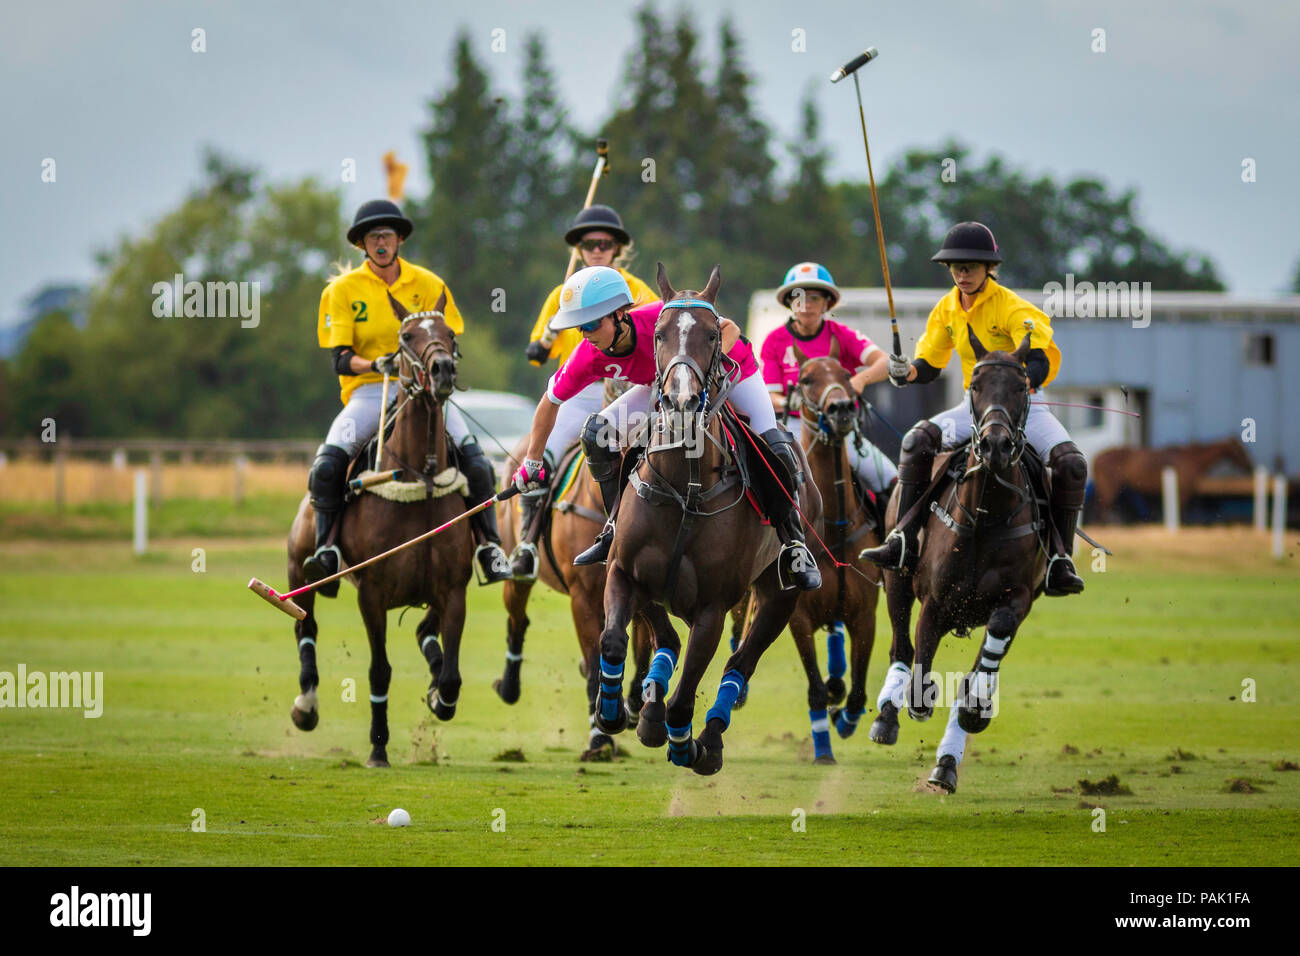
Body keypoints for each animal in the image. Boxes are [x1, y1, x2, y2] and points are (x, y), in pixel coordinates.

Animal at [289, 291, 478, 770]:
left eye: (449, 333)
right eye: (407, 336)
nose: (442, 371)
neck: (419, 476)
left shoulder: (454, 590)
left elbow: (452, 675)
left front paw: (438, 697)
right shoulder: (371, 594)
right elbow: (380, 671)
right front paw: (377, 747)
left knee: (424, 632)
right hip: (300, 571)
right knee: (305, 626)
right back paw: (306, 706)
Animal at [595, 265, 816, 775]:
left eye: (713, 334)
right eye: (659, 334)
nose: (680, 401)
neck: (684, 486)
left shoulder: (714, 608)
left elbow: (687, 695)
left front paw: (686, 743)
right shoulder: (623, 572)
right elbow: (613, 640)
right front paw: (612, 711)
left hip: (780, 596)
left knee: (740, 665)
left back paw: (708, 740)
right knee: (669, 640)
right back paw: (648, 711)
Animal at [780, 356, 883, 764]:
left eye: (846, 375)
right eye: (807, 379)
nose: (841, 408)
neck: (833, 528)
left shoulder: (865, 615)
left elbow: (858, 691)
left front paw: (844, 719)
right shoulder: (799, 617)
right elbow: (815, 689)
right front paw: (823, 748)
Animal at [868, 332, 1050, 796]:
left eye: (1021, 386)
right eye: (975, 386)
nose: (995, 445)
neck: (986, 515)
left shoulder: (1019, 599)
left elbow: (983, 663)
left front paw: (971, 713)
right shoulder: (935, 602)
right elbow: (919, 668)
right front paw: (914, 703)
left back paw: (947, 762)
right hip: (896, 576)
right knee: (900, 644)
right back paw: (886, 717)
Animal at [1092, 439, 1253, 522]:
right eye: (1240, 451)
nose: (1250, 466)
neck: (1191, 459)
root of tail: (1097, 457)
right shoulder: (1183, 493)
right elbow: (1181, 512)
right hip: (1109, 488)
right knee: (1103, 508)